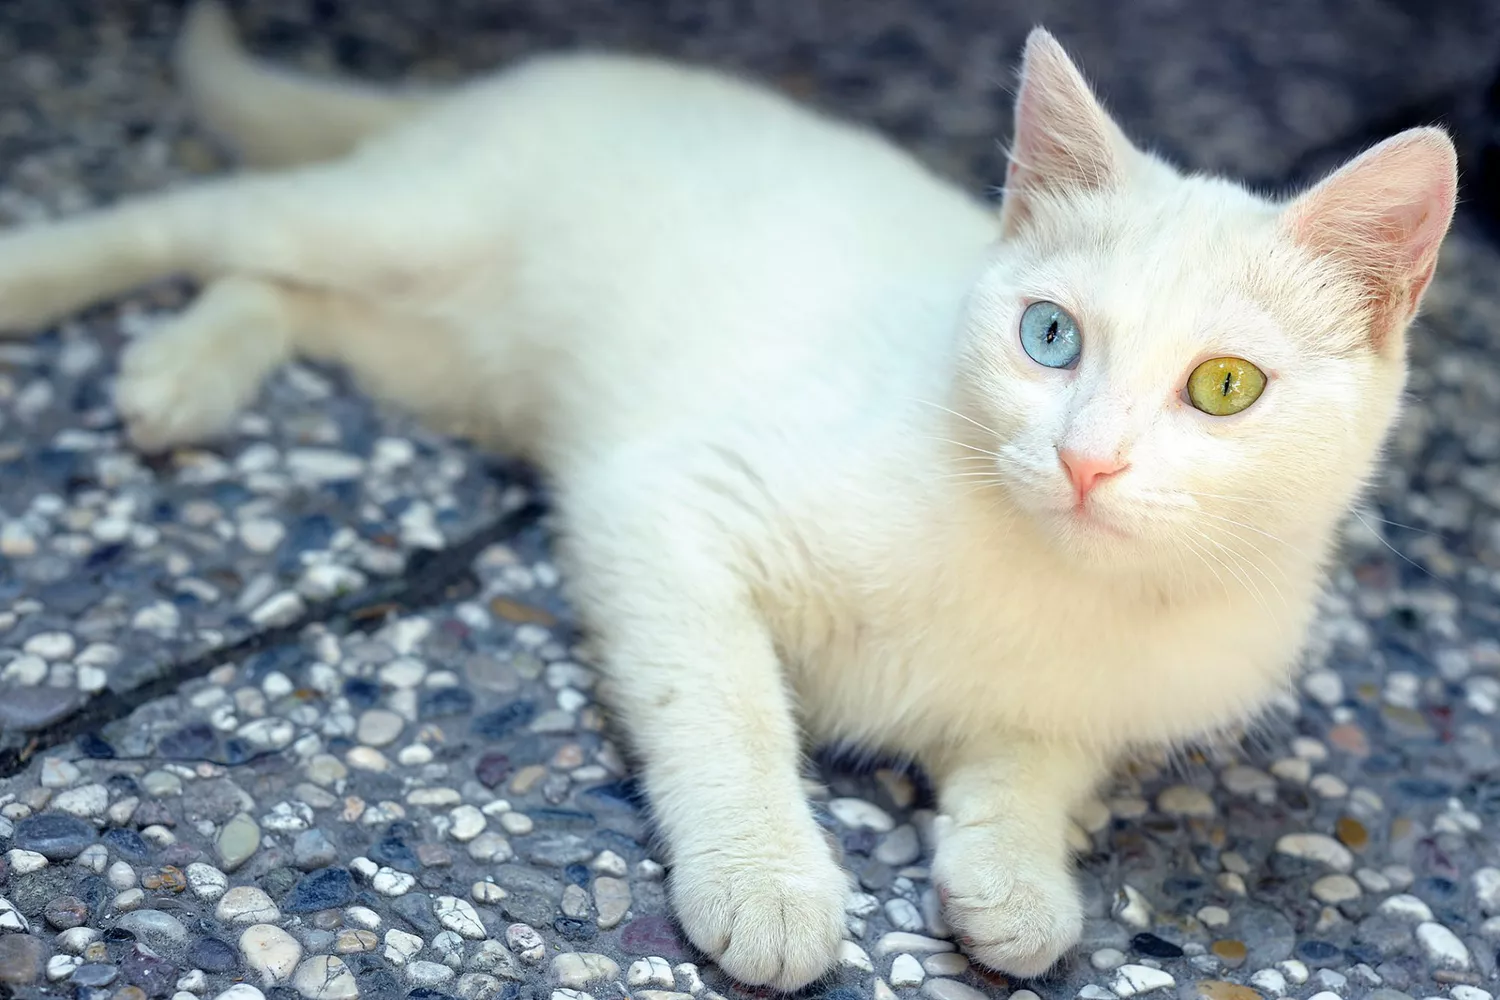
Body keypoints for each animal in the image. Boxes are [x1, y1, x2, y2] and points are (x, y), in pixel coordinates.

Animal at [0, 3, 1452, 995]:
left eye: (1223, 387)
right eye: (1049, 336)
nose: (1089, 460)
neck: (1048, 574)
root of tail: (539, 75)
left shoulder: (1094, 710)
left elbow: (1035, 764)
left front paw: (1015, 879)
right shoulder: (668, 502)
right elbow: (726, 704)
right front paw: (769, 879)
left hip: (442, 355)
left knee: (279, 287)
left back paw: (186, 375)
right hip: (411, 226)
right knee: (210, 217)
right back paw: (57, 291)